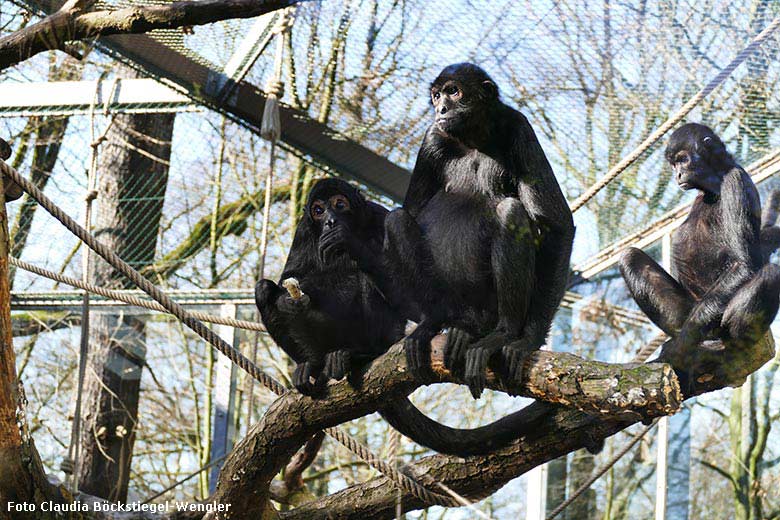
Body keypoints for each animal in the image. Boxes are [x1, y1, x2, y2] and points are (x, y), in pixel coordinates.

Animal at [342, 64, 572, 398]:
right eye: (436, 95)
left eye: (453, 91)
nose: (441, 108)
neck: (472, 139)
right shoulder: (432, 137)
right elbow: (410, 211)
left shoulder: (519, 128)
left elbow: (557, 226)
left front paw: (528, 339)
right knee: (397, 220)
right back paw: (438, 323)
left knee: (511, 211)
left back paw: (499, 333)